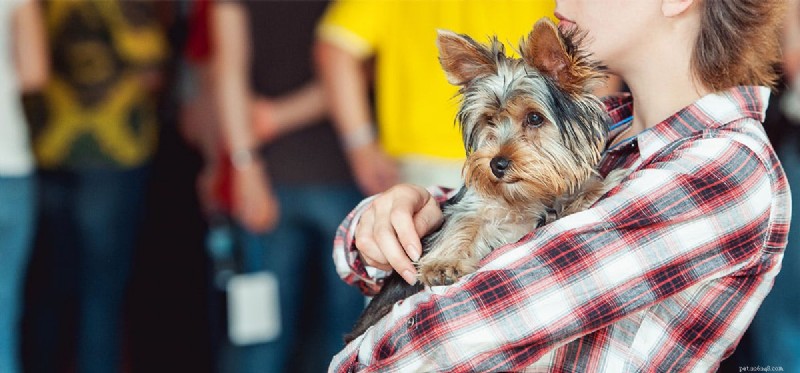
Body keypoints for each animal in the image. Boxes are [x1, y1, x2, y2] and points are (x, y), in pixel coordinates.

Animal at [346, 18, 628, 342]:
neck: (526, 195)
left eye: (534, 118)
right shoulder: (474, 205)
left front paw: (589, 190)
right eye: (489, 121)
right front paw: (444, 264)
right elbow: (464, 222)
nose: (497, 163)